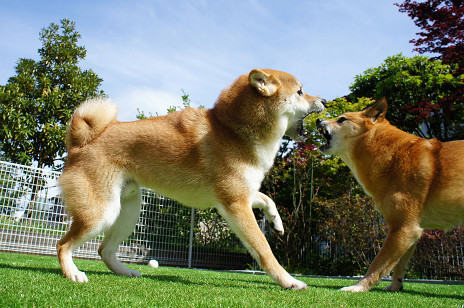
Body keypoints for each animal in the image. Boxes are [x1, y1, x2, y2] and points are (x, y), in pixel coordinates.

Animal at [57, 68, 326, 290]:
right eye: (300, 92)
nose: (324, 100)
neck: (233, 131)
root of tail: (79, 142)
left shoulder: (241, 194)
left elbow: (268, 199)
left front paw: (277, 222)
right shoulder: (236, 203)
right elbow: (264, 250)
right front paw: (288, 281)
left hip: (127, 211)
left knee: (104, 250)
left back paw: (126, 272)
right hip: (102, 213)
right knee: (63, 245)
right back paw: (73, 273)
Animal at [318, 98, 464, 292]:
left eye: (342, 119)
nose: (318, 120)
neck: (393, 155)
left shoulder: (403, 227)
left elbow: (378, 264)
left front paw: (359, 287)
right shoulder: (410, 230)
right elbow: (399, 264)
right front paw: (395, 286)